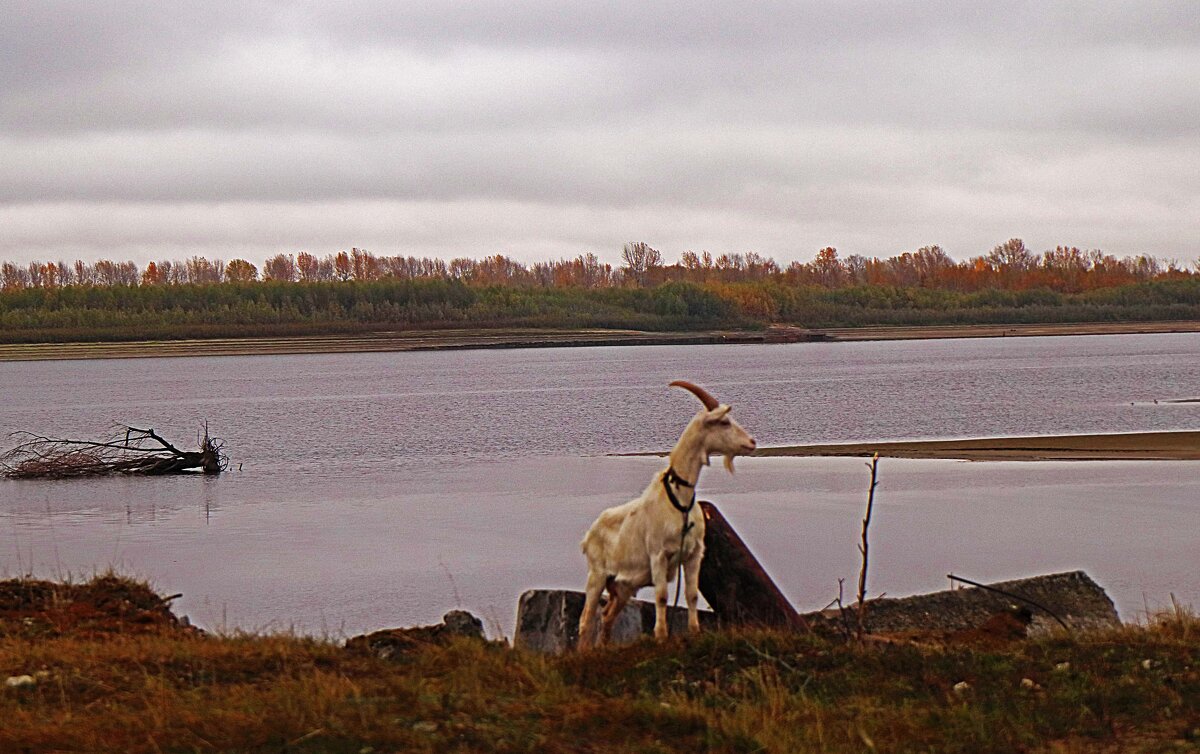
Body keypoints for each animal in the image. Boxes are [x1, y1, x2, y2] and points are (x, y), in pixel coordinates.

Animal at [576, 381, 753, 648]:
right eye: (724, 422)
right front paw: (661, 636)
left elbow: (691, 594)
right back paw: (584, 651)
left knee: (607, 616)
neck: (679, 500)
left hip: (622, 585)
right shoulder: (658, 554)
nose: (752, 442)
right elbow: (661, 596)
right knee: (586, 619)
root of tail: (588, 535)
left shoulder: (694, 554)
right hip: (596, 575)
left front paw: (694, 632)